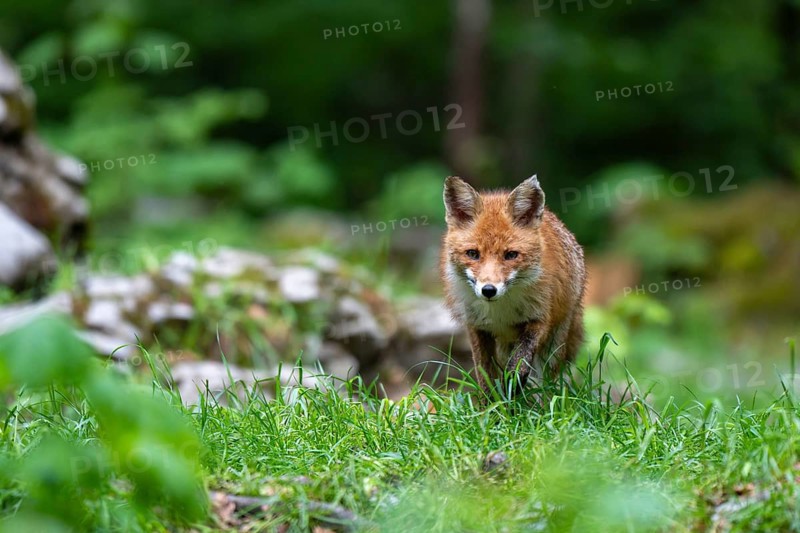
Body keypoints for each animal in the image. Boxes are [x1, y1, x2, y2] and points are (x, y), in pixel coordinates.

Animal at [440, 175, 586, 395]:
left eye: (510, 255)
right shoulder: (476, 326)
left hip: (555, 342)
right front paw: (491, 403)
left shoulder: (539, 318)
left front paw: (514, 383)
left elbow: (521, 358)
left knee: (546, 381)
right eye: (473, 254)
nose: (488, 290)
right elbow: (485, 374)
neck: (500, 311)